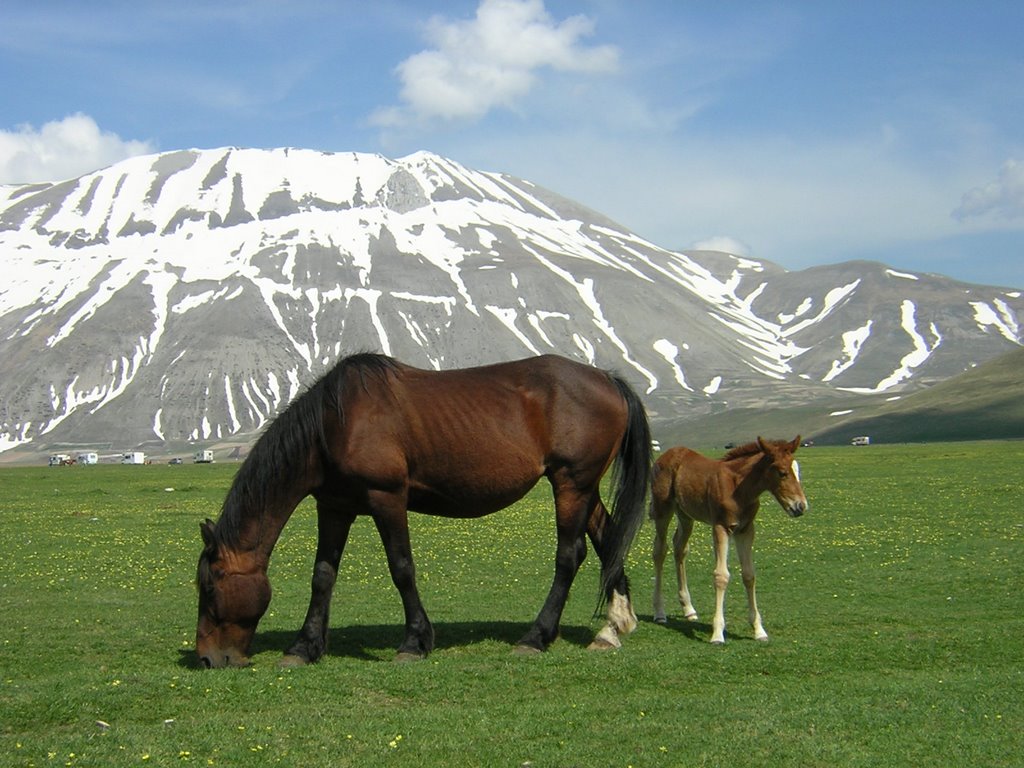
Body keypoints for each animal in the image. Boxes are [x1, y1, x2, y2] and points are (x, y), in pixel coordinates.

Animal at [195, 354, 651, 667]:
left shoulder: (387, 497)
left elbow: (401, 569)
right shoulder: (335, 507)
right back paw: (612, 628)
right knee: (608, 539)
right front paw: (305, 647)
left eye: (211, 588)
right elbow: (322, 576)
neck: (335, 423)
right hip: (582, 487)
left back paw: (536, 636)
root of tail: (607, 379)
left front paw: (415, 642)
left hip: (571, 483)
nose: (207, 657)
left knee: (569, 556)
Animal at [651, 438, 802, 643]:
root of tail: (666, 455)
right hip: (662, 509)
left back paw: (689, 609)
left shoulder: (745, 530)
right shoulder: (721, 527)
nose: (800, 506)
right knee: (660, 550)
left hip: (685, 515)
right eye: (782, 473)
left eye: (798, 470)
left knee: (679, 548)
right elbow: (721, 575)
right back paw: (659, 612)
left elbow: (749, 575)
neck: (739, 488)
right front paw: (717, 633)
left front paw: (759, 630)